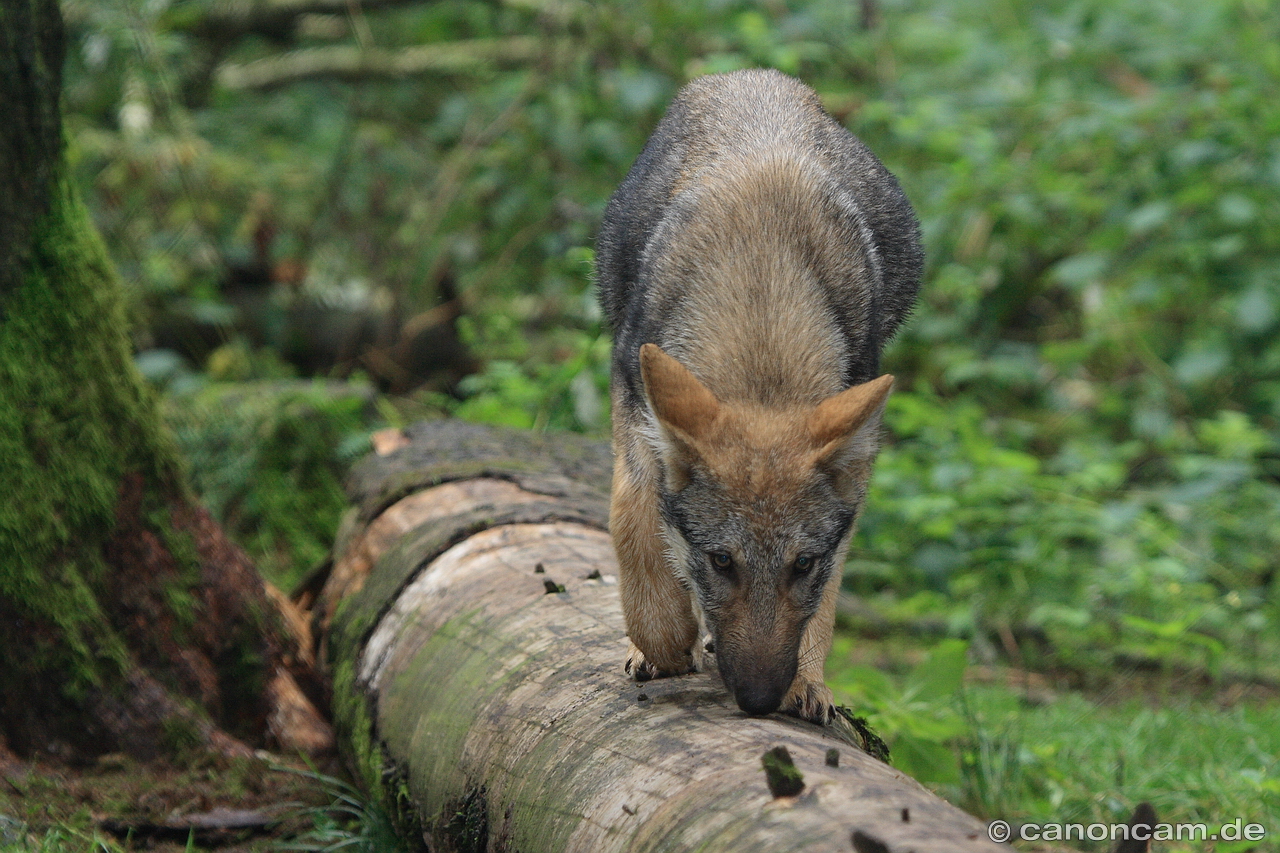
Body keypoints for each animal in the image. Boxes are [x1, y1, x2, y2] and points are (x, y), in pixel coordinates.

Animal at [593, 69, 926, 722]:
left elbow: (825, 603)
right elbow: (637, 532)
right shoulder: (636, 409)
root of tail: (751, 76)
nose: (758, 700)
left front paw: (808, 683)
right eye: (723, 561)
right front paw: (665, 647)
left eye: (803, 564)